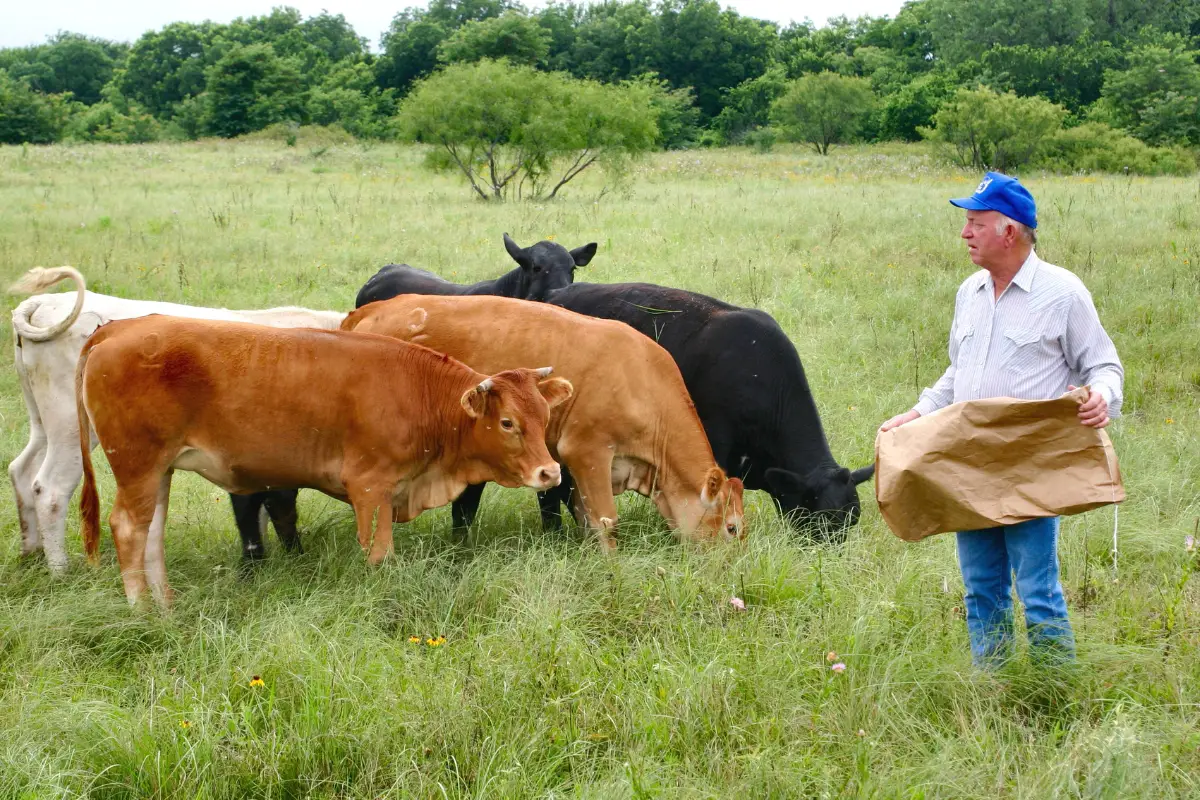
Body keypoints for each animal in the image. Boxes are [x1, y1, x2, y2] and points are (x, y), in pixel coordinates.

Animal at [8, 266, 348, 573]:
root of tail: (45, 302)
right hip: (71, 427)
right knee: (50, 488)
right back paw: (61, 571)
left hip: (43, 422)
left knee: (21, 469)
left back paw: (32, 555)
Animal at [75, 316, 571, 604]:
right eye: (507, 422)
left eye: (544, 416)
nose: (549, 472)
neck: (418, 391)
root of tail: (117, 327)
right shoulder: (370, 487)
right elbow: (379, 553)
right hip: (138, 465)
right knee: (127, 528)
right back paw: (143, 610)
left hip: (158, 471)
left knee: (151, 532)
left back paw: (165, 602)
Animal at [338, 293, 744, 551]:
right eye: (732, 527)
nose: (730, 569)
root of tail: (381, 306)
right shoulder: (587, 451)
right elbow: (605, 520)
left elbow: (585, 517)